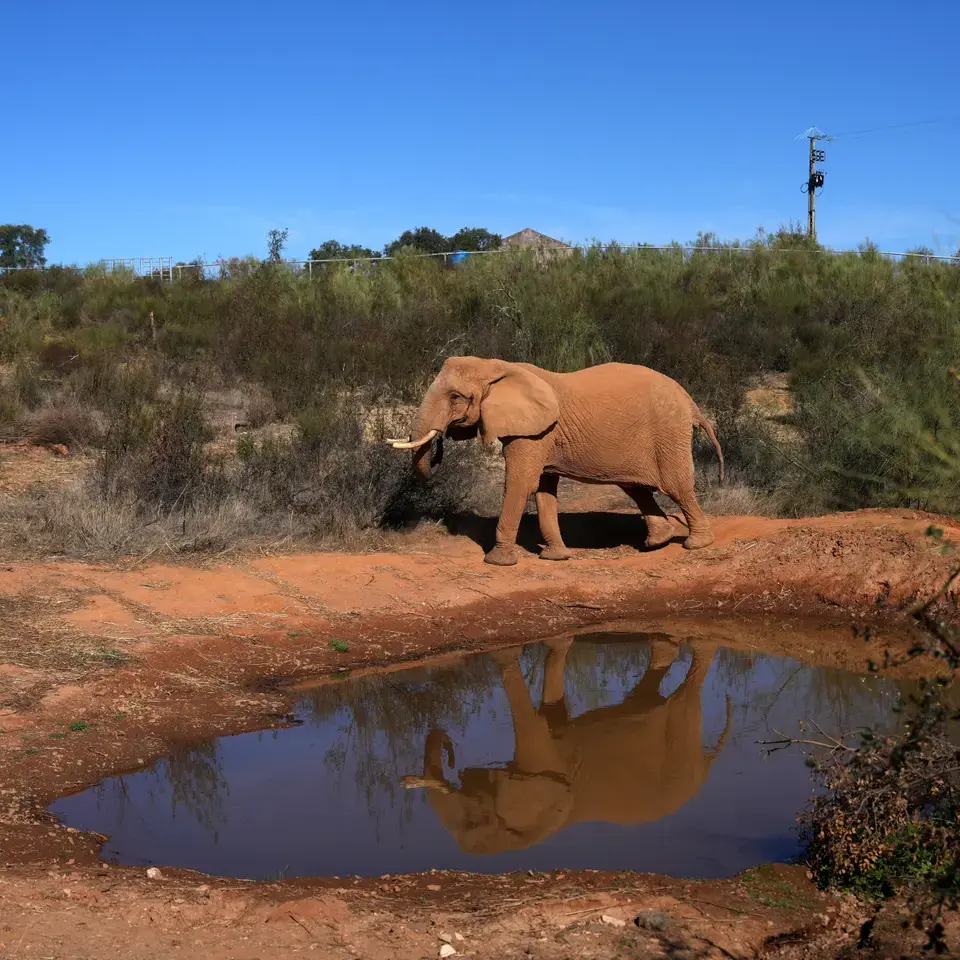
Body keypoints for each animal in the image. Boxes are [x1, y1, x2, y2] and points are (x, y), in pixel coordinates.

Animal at [386, 357, 724, 565]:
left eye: (455, 397)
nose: (439, 448)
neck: (497, 367)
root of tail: (690, 400)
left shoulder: (534, 433)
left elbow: (520, 485)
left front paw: (497, 562)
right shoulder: (540, 434)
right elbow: (544, 491)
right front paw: (556, 558)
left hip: (668, 431)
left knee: (676, 487)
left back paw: (696, 544)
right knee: (634, 486)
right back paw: (657, 542)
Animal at [400, 636, 732, 856]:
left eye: (472, 823)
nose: (453, 756)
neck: (528, 837)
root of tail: (705, 767)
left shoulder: (542, 762)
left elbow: (534, 723)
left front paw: (506, 652)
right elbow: (552, 716)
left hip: (680, 746)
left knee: (686, 694)